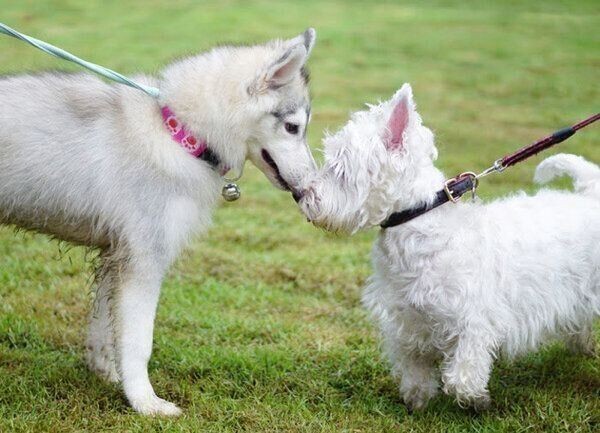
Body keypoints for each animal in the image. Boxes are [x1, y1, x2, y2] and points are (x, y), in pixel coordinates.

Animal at [0, 28, 318, 414]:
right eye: (292, 127)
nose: (310, 188)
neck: (178, 134)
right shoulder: (144, 259)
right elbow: (139, 342)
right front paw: (145, 403)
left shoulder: (115, 255)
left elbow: (104, 328)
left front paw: (106, 374)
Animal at [300, 83, 600, 408]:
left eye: (340, 167)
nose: (301, 195)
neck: (417, 222)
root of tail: (590, 196)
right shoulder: (407, 320)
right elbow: (414, 367)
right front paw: (418, 399)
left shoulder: (474, 319)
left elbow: (461, 376)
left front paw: (477, 399)